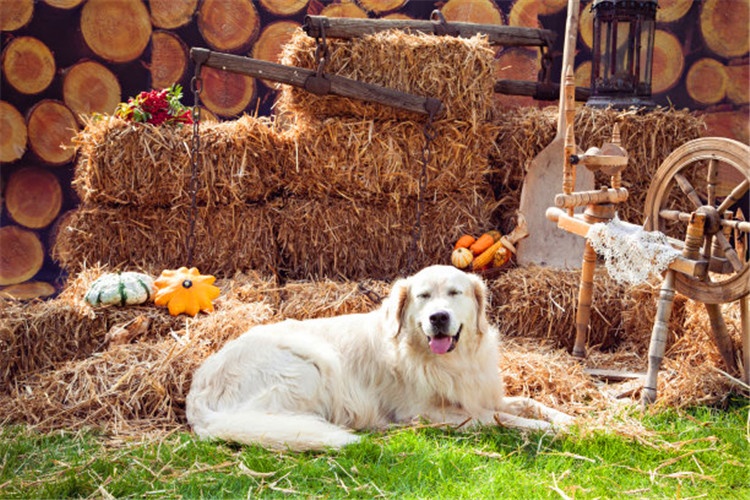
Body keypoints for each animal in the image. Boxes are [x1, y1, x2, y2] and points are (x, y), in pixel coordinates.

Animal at [188, 266, 576, 450]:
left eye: (455, 293)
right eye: (423, 296)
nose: (438, 318)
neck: (448, 362)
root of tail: (198, 389)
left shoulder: (481, 393)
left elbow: (526, 403)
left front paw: (565, 418)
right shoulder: (432, 412)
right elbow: (499, 419)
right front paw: (547, 429)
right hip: (311, 362)